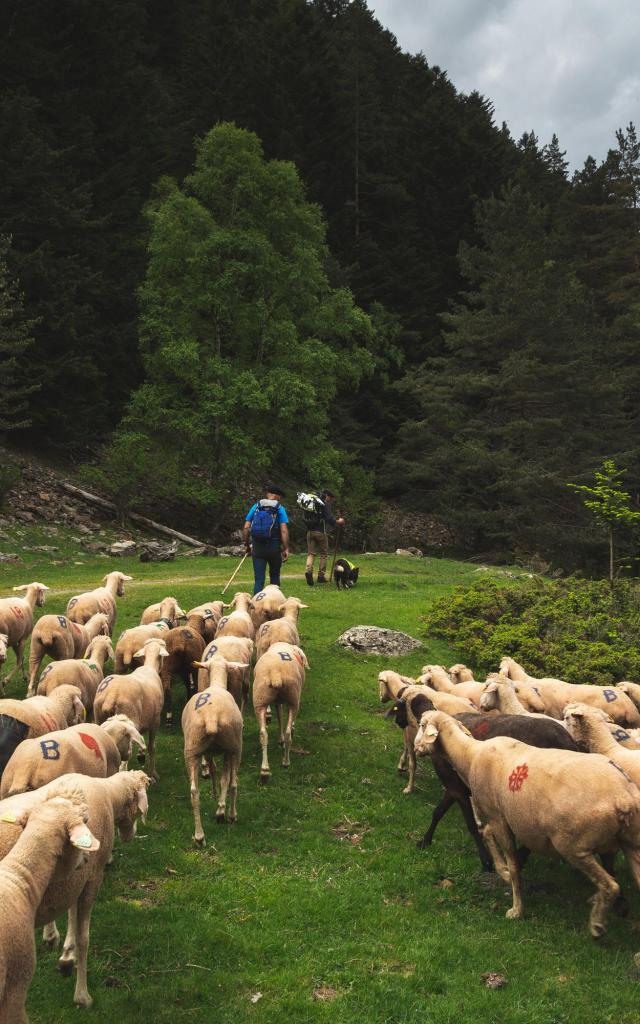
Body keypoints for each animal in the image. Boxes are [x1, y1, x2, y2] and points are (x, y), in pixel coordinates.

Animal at [186, 659, 245, 843]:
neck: (217, 684)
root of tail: (211, 717)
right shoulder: (227, 751)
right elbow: (224, 779)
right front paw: (220, 808)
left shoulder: (208, 751)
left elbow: (213, 770)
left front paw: (213, 794)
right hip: (235, 746)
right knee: (233, 782)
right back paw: (230, 815)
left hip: (191, 750)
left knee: (194, 792)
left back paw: (199, 836)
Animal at [250, 643, 309, 778]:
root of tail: (276, 672)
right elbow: (281, 717)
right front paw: (282, 738)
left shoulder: (277, 701)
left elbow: (279, 715)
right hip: (293, 699)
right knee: (288, 734)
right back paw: (286, 762)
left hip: (259, 700)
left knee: (263, 734)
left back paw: (265, 769)